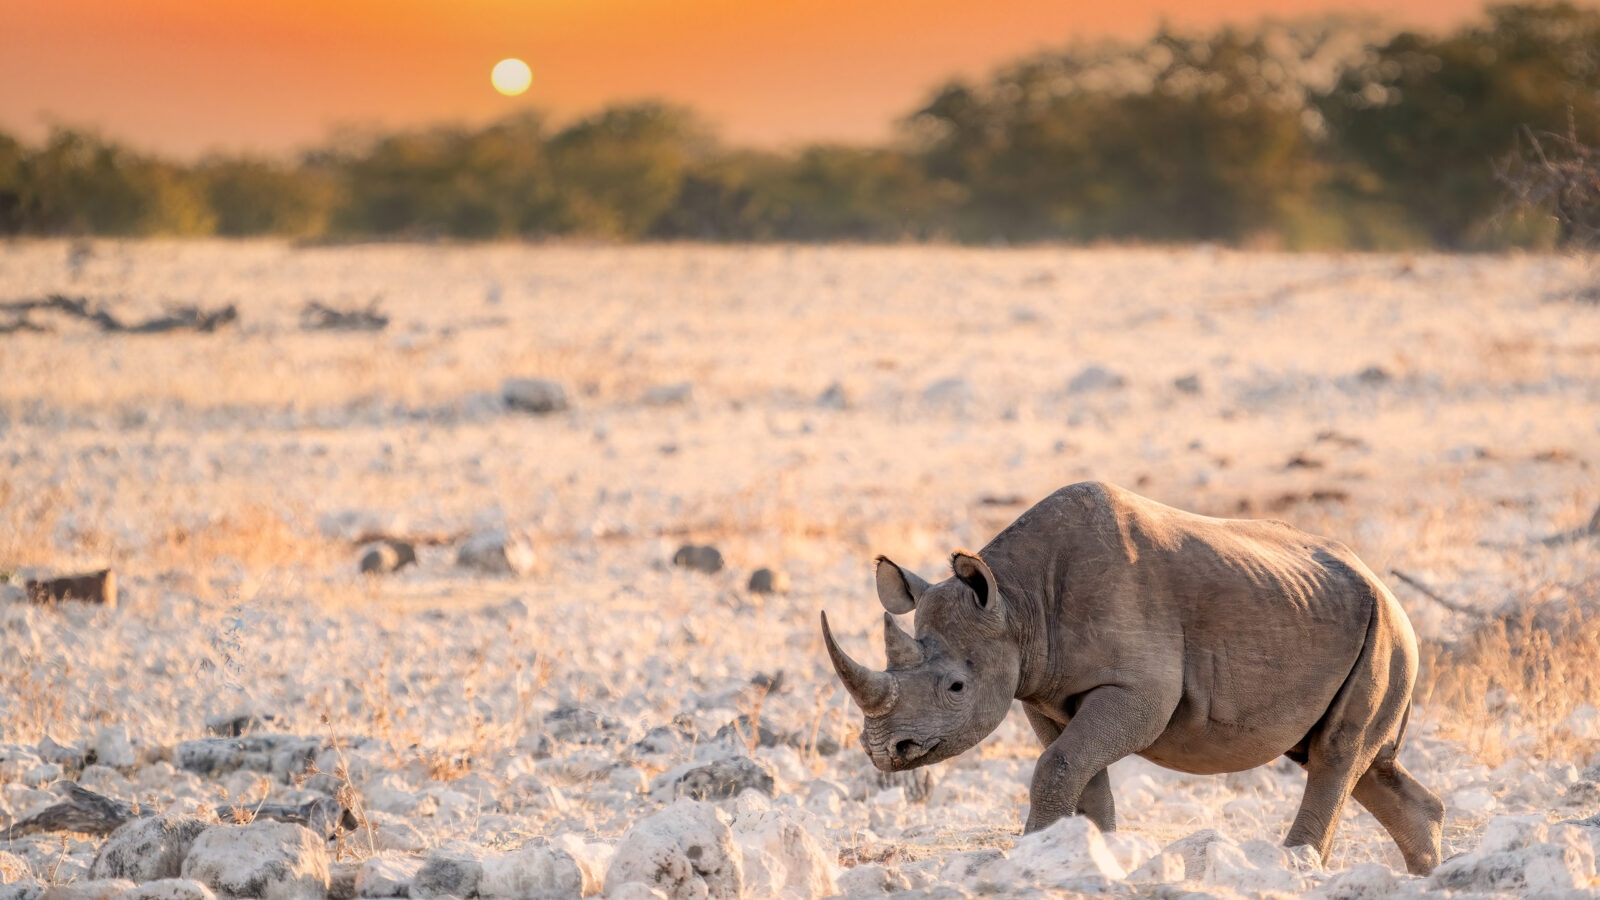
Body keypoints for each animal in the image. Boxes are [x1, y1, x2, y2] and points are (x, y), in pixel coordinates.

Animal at [821, 481, 1443, 875]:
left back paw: (1294, 868)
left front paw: (1033, 855)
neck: (1018, 603)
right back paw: (1425, 874)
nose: (883, 751)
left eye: (956, 688)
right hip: (1347, 624)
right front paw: (1092, 855)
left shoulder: (1139, 691)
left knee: (1336, 755)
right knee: (1351, 761)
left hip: (1387, 633)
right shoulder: (1044, 696)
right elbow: (1079, 773)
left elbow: (1058, 766)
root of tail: (1385, 587)